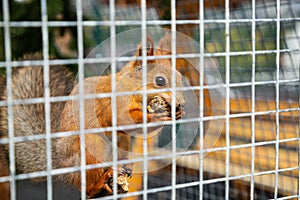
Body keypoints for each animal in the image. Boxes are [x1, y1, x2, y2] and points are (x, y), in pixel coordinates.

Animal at [0, 34, 186, 198]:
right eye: (160, 80)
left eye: (179, 77)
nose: (181, 103)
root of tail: (62, 168)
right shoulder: (113, 103)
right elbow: (120, 119)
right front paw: (155, 117)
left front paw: (177, 113)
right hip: (90, 147)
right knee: (86, 188)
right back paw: (100, 183)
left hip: (121, 142)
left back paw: (123, 166)